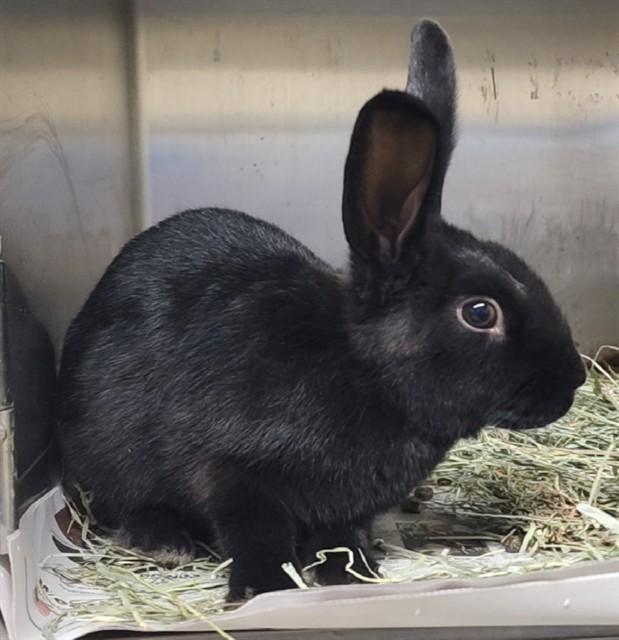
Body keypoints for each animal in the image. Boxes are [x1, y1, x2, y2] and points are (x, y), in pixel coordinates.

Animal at [55, 19, 586, 601]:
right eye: (481, 313)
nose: (574, 380)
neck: (364, 374)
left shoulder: (345, 507)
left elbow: (341, 536)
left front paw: (353, 574)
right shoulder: (228, 470)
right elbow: (256, 530)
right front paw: (264, 589)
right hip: (103, 453)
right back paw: (163, 541)